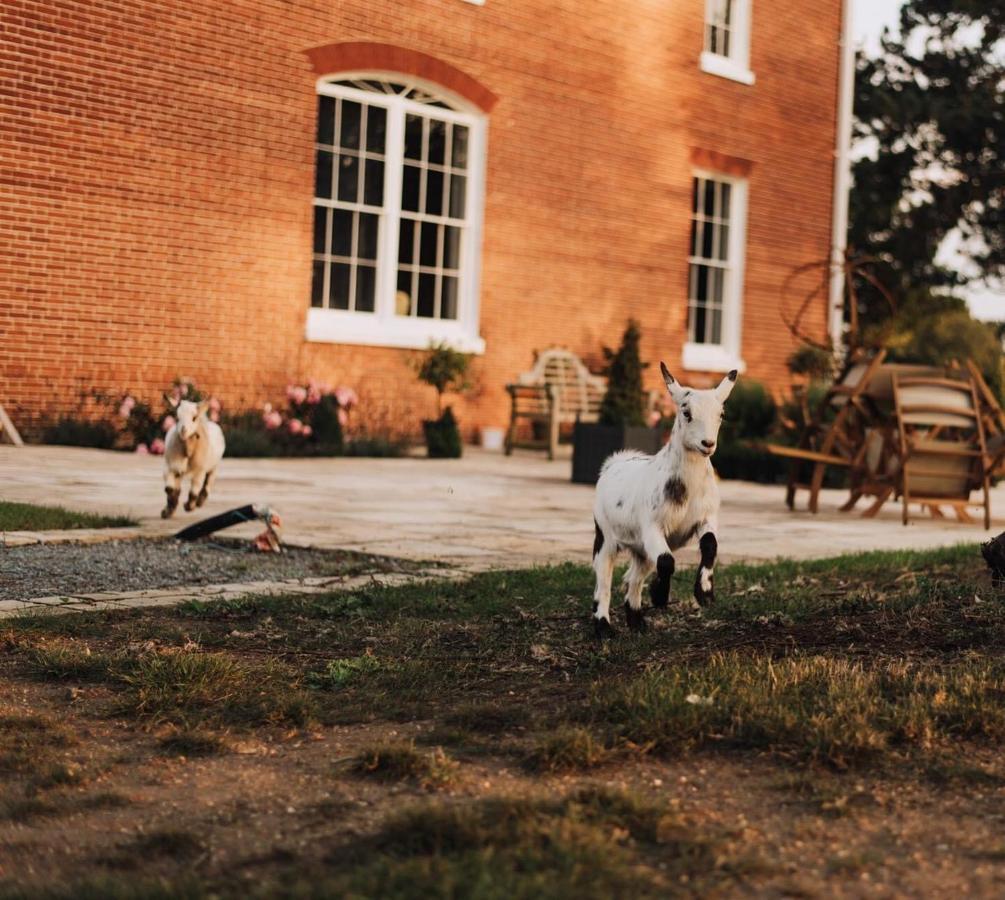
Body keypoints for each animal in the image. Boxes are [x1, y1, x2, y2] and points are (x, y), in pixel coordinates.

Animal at [586, 361, 739, 634]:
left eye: (721, 414)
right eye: (686, 412)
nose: (707, 444)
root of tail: (615, 462)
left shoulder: (706, 517)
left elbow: (710, 544)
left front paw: (704, 593)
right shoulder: (652, 526)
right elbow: (667, 561)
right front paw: (659, 595)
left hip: (640, 549)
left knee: (634, 577)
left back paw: (637, 622)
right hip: (605, 534)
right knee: (603, 580)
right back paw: (604, 628)